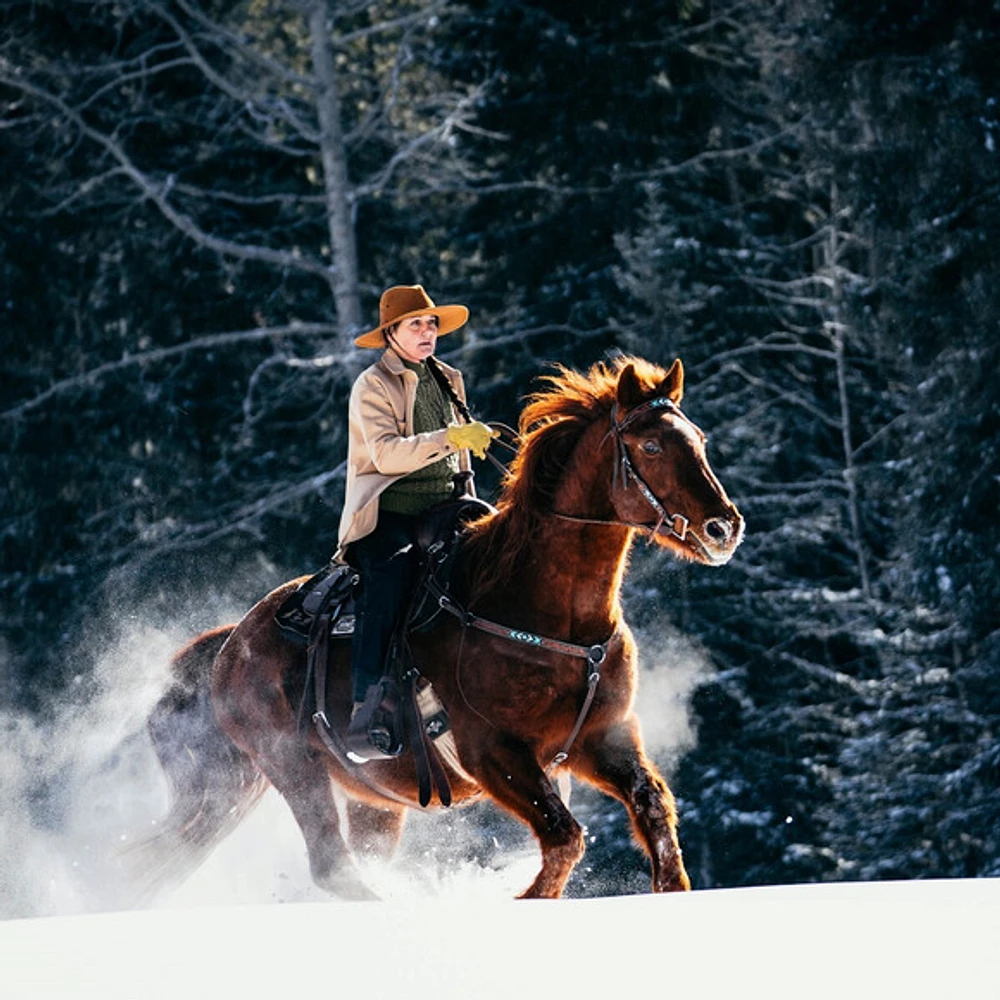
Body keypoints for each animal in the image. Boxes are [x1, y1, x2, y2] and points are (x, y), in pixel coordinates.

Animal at [133, 358, 744, 900]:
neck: (543, 615)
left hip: (337, 797)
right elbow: (564, 838)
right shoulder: (492, 751)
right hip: (287, 769)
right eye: (651, 446)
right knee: (331, 866)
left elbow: (654, 812)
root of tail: (229, 646)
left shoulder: (604, 737)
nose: (724, 527)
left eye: (698, 438)